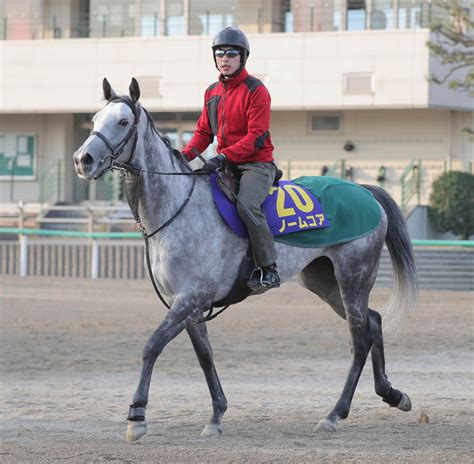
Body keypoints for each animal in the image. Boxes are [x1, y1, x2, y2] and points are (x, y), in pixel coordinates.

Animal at [72, 79, 416, 442]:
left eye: (123, 121)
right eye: (94, 119)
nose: (82, 159)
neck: (177, 208)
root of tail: (365, 191)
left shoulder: (191, 298)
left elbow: (152, 345)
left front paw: (136, 416)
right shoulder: (188, 304)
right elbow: (205, 356)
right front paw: (216, 415)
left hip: (353, 276)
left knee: (360, 337)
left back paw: (335, 414)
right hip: (322, 280)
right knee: (374, 322)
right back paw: (392, 394)